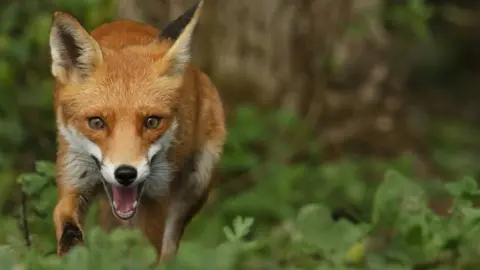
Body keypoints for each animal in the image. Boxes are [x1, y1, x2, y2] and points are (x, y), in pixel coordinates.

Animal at [48, 0, 225, 262]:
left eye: (152, 122)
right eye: (96, 122)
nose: (125, 174)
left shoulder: (156, 199)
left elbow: (146, 253)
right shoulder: (74, 180)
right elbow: (67, 226)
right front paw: (73, 251)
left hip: (197, 183)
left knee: (168, 249)